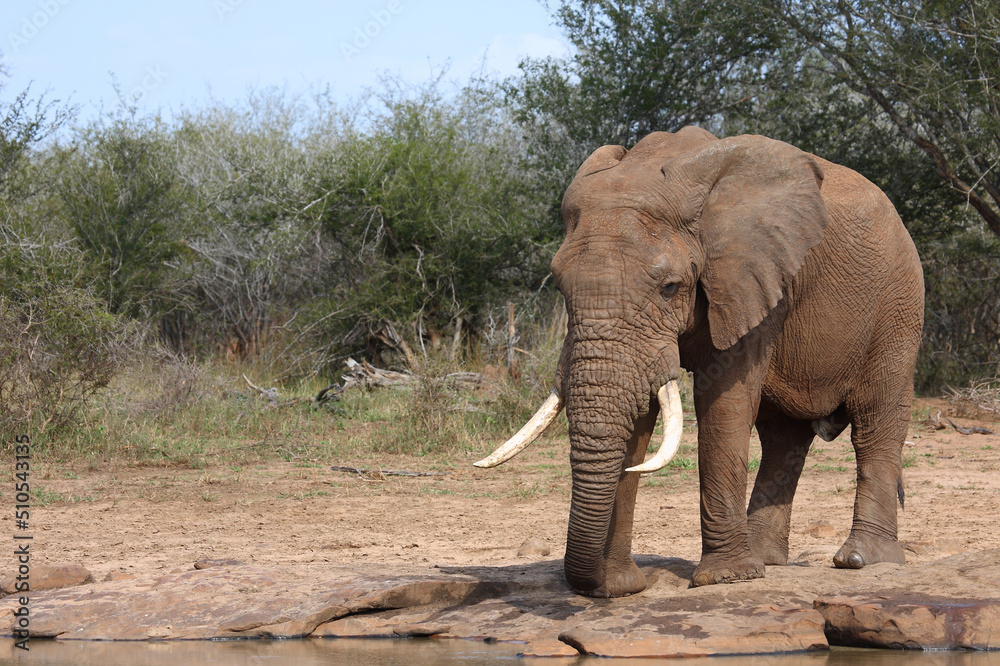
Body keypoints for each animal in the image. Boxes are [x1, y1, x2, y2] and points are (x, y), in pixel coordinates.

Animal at [475, 127, 924, 598]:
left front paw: (724, 578)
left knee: (875, 423)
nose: (593, 587)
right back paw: (765, 558)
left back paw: (861, 559)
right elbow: (641, 415)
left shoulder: (751, 279)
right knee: (783, 438)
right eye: (561, 287)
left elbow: (723, 404)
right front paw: (620, 587)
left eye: (670, 288)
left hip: (898, 306)